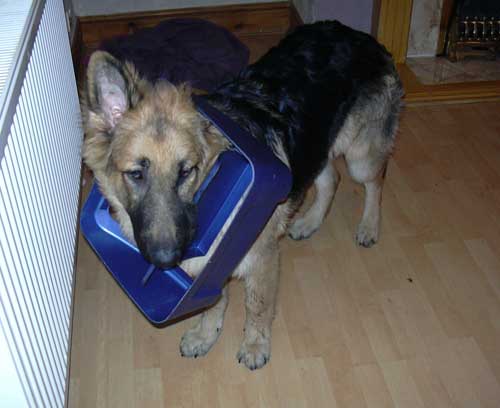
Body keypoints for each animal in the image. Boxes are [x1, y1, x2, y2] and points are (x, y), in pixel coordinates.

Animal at [82, 21, 402, 370]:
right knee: (332, 178)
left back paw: (369, 226)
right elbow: (213, 302)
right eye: (136, 175)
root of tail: (358, 34)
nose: (165, 260)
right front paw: (206, 334)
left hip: (360, 157)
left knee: (375, 180)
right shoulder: (210, 271)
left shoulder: (263, 259)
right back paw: (310, 222)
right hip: (316, 148)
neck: (209, 189)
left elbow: (257, 306)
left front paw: (255, 344)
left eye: (186, 171)